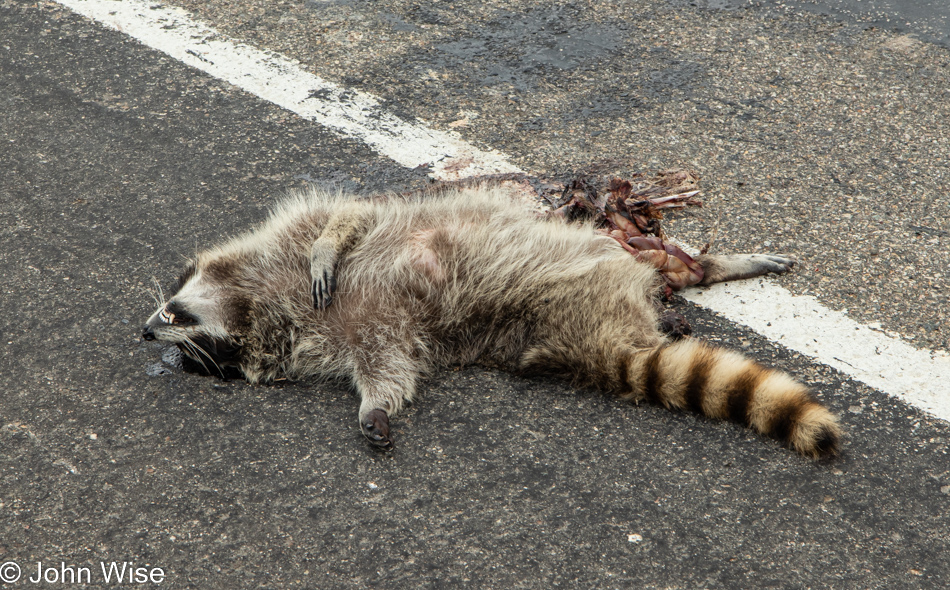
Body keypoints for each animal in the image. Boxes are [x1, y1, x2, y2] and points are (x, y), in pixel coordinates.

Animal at [141, 183, 840, 460]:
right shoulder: (367, 329)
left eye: (172, 310)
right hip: (555, 316)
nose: (145, 332)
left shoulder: (301, 239)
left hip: (608, 243)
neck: (262, 304)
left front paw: (327, 248)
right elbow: (387, 362)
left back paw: (711, 264)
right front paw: (375, 406)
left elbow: (345, 218)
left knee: (666, 260)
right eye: (203, 358)